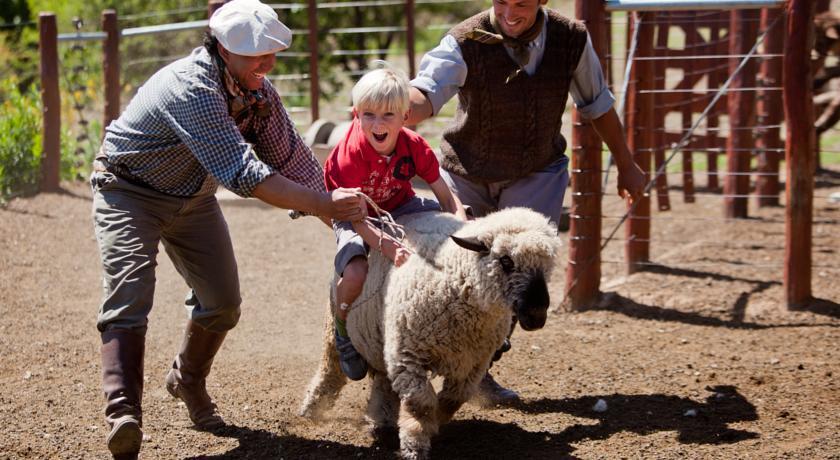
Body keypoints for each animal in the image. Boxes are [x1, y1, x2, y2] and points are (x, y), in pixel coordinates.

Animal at [298, 208, 560, 460]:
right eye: (506, 260)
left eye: (548, 265)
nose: (537, 315)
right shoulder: (408, 356)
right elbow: (420, 404)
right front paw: (415, 447)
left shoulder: (474, 363)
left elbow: (454, 399)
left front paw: (435, 421)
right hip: (336, 329)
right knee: (330, 372)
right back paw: (310, 410)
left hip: (385, 341)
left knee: (383, 382)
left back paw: (380, 420)